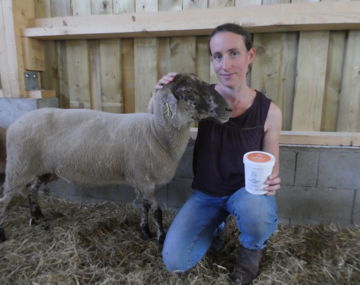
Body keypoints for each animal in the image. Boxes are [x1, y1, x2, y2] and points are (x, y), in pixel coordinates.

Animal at [0, 73, 231, 242]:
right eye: (189, 91)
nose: (228, 108)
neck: (157, 132)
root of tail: (15, 123)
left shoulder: (141, 180)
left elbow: (144, 207)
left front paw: (145, 232)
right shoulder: (145, 179)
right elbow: (156, 211)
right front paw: (160, 239)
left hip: (45, 170)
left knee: (32, 190)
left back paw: (37, 217)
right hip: (18, 166)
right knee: (5, 198)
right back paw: (4, 233)